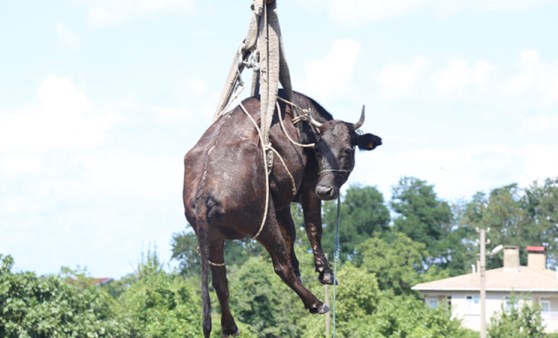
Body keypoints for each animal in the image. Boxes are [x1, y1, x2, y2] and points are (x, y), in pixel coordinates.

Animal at [183, 88, 380, 336]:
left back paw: (229, 326)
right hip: (263, 224)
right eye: (318, 150)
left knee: (220, 280)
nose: (325, 190)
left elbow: (291, 234)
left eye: (348, 149)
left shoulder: (281, 202)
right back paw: (316, 303)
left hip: (213, 237)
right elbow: (313, 228)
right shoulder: (308, 189)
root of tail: (204, 188)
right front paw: (324, 271)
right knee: (279, 266)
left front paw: (300, 265)